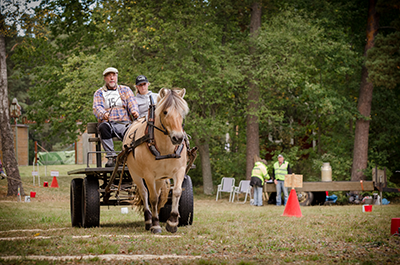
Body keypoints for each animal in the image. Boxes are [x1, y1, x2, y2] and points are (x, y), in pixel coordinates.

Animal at [122, 88, 190, 233]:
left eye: (182, 112)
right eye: (165, 112)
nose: (178, 138)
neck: (165, 148)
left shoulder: (180, 171)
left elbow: (176, 192)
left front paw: (172, 222)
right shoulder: (148, 175)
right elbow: (152, 198)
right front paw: (156, 224)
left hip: (159, 178)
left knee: (158, 194)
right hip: (135, 174)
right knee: (144, 193)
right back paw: (149, 220)